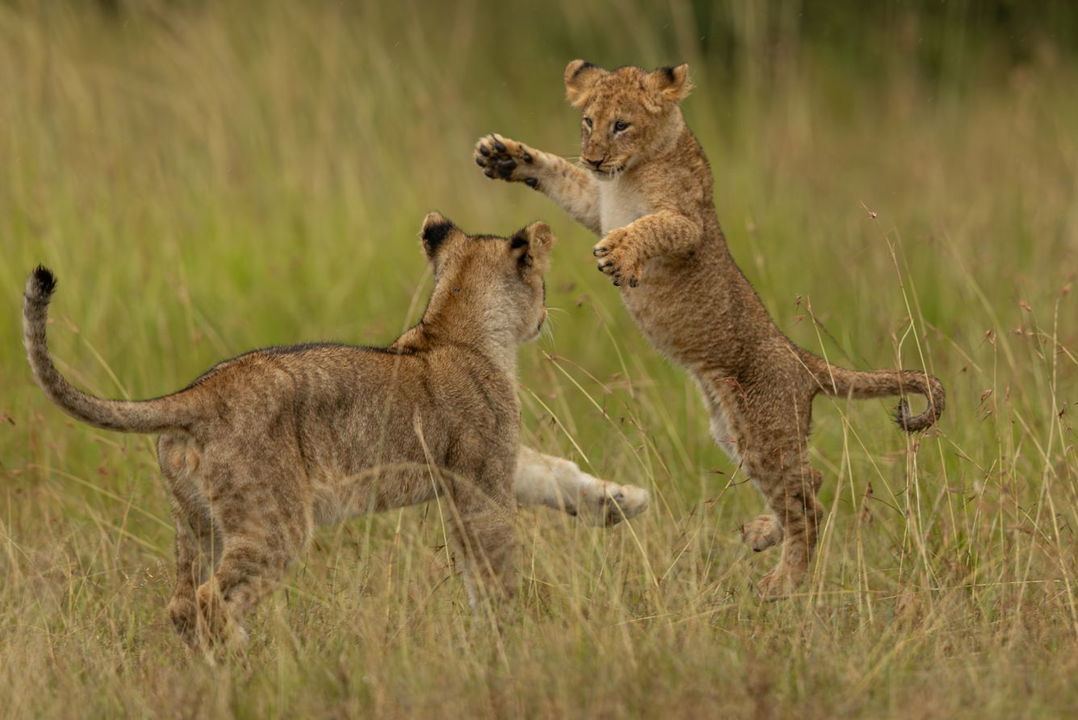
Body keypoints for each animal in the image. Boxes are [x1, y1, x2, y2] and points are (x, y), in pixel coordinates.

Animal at [22, 213, 646, 649]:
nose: (544, 316)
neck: (453, 330)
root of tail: (201, 390)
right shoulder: (478, 481)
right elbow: (494, 566)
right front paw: (507, 635)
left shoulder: (493, 463)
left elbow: (553, 472)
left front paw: (622, 501)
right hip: (274, 522)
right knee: (210, 600)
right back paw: (249, 656)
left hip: (194, 521)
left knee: (179, 603)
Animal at [474, 61, 945, 596]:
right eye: (589, 122)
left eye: (622, 125)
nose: (594, 157)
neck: (631, 169)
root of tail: (800, 357)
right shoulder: (596, 204)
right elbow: (563, 176)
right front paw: (506, 156)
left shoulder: (686, 223)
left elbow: (652, 227)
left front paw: (619, 255)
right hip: (736, 433)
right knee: (811, 483)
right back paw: (763, 534)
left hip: (763, 431)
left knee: (808, 506)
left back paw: (783, 582)